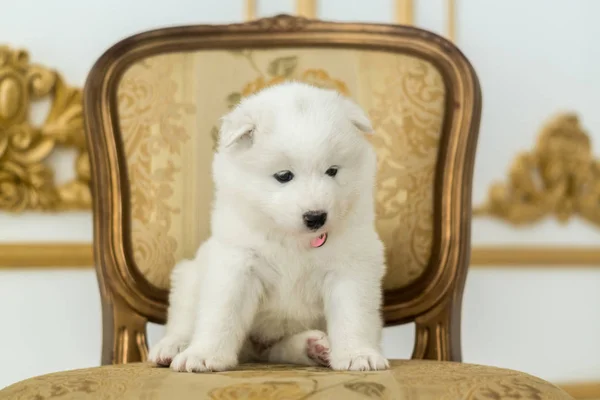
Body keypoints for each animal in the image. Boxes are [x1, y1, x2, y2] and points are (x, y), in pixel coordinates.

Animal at [150, 83, 390, 374]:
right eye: (284, 176)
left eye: (332, 171)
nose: (316, 217)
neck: (292, 239)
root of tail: (255, 350)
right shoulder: (237, 262)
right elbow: (222, 312)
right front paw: (204, 355)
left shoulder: (351, 265)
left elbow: (353, 314)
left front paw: (358, 354)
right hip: (189, 275)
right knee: (183, 319)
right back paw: (171, 348)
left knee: (280, 350)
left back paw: (316, 347)